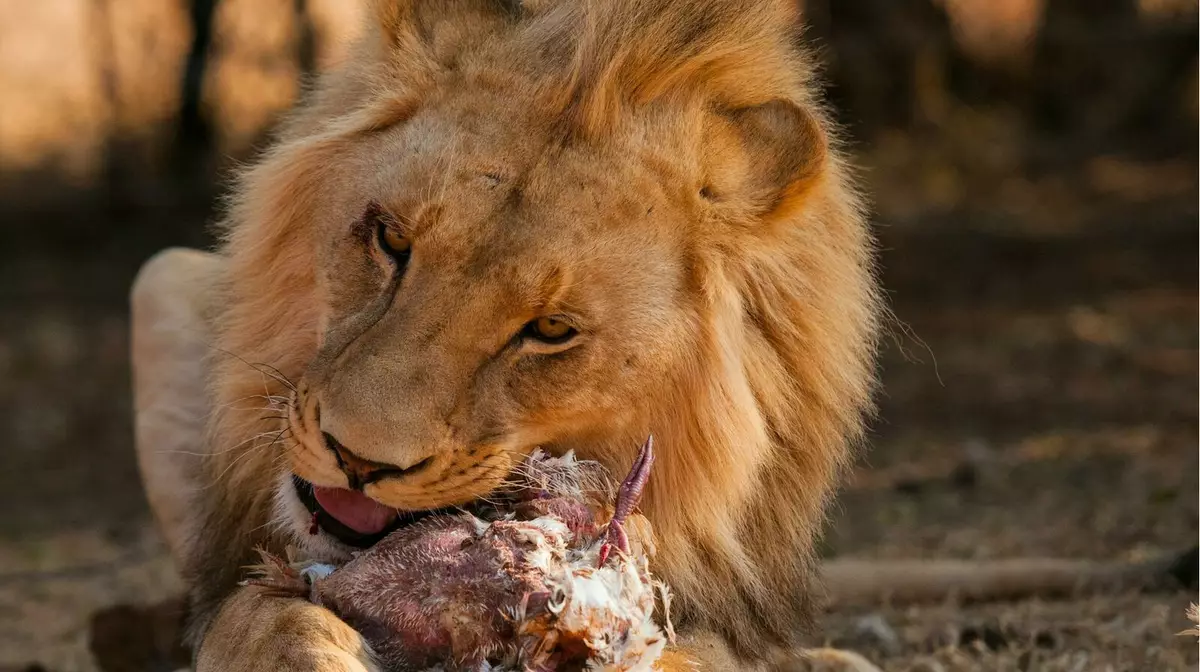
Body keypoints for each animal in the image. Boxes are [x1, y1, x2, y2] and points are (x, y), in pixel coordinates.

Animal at [124, 0, 1190, 667]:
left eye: (550, 330)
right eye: (389, 240)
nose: (357, 459)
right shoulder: (238, 576)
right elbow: (257, 620)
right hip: (160, 276)